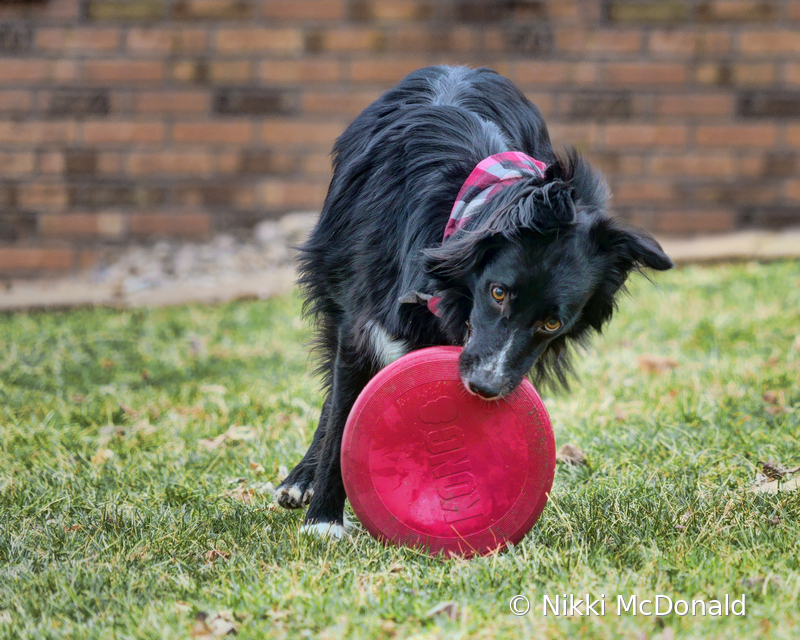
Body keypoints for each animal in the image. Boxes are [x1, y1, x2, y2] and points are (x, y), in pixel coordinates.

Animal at [272, 65, 672, 536]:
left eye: (553, 323)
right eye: (497, 293)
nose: (484, 388)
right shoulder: (363, 319)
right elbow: (341, 415)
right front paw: (324, 520)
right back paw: (302, 479)